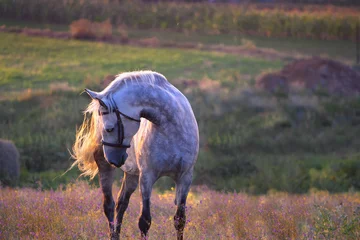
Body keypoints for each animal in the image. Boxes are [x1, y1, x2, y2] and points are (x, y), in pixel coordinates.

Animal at [71, 71, 198, 240]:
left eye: (109, 128)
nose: (113, 159)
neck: (171, 128)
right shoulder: (147, 177)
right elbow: (144, 221)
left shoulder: (185, 177)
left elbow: (180, 220)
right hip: (105, 168)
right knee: (109, 206)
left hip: (131, 174)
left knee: (121, 204)